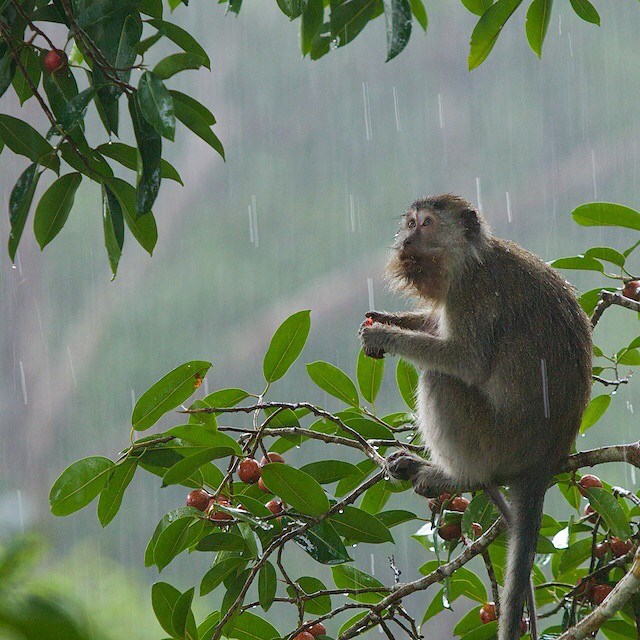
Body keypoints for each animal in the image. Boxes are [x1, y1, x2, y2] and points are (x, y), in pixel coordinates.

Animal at [358, 195, 592, 640]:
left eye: (427, 224)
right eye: (410, 223)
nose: (407, 240)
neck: (470, 257)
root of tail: (544, 460)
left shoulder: (471, 293)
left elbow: (465, 360)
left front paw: (386, 335)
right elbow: (435, 324)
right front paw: (392, 319)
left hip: (492, 439)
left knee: (439, 377)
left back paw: (453, 474)